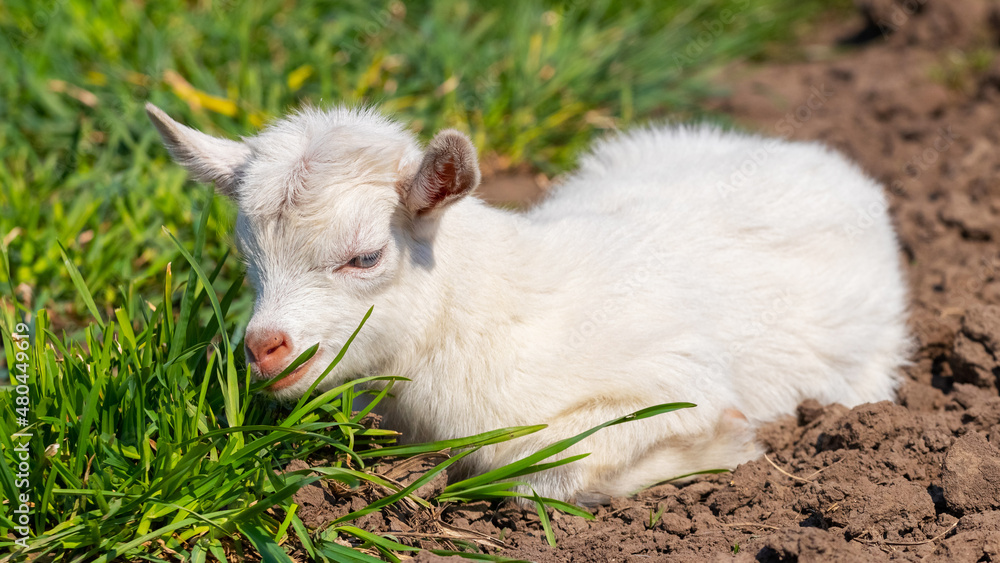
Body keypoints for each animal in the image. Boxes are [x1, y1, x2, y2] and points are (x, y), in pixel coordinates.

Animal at [147, 103, 909, 502]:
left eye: (365, 256)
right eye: (248, 259)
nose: (264, 348)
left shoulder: (675, 374)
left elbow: (546, 467)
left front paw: (726, 445)